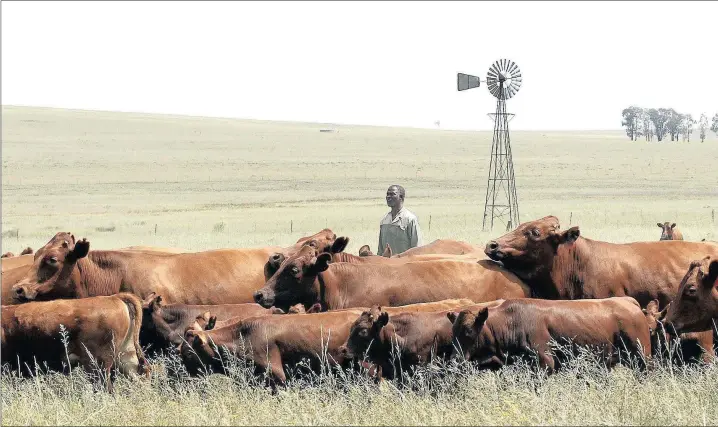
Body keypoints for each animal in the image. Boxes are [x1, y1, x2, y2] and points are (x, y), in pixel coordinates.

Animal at [452, 298, 656, 372]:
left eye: (468, 331)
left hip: (642, 357)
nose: (455, 358)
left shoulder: (545, 362)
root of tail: (628, 302)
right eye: (453, 332)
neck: (511, 320)